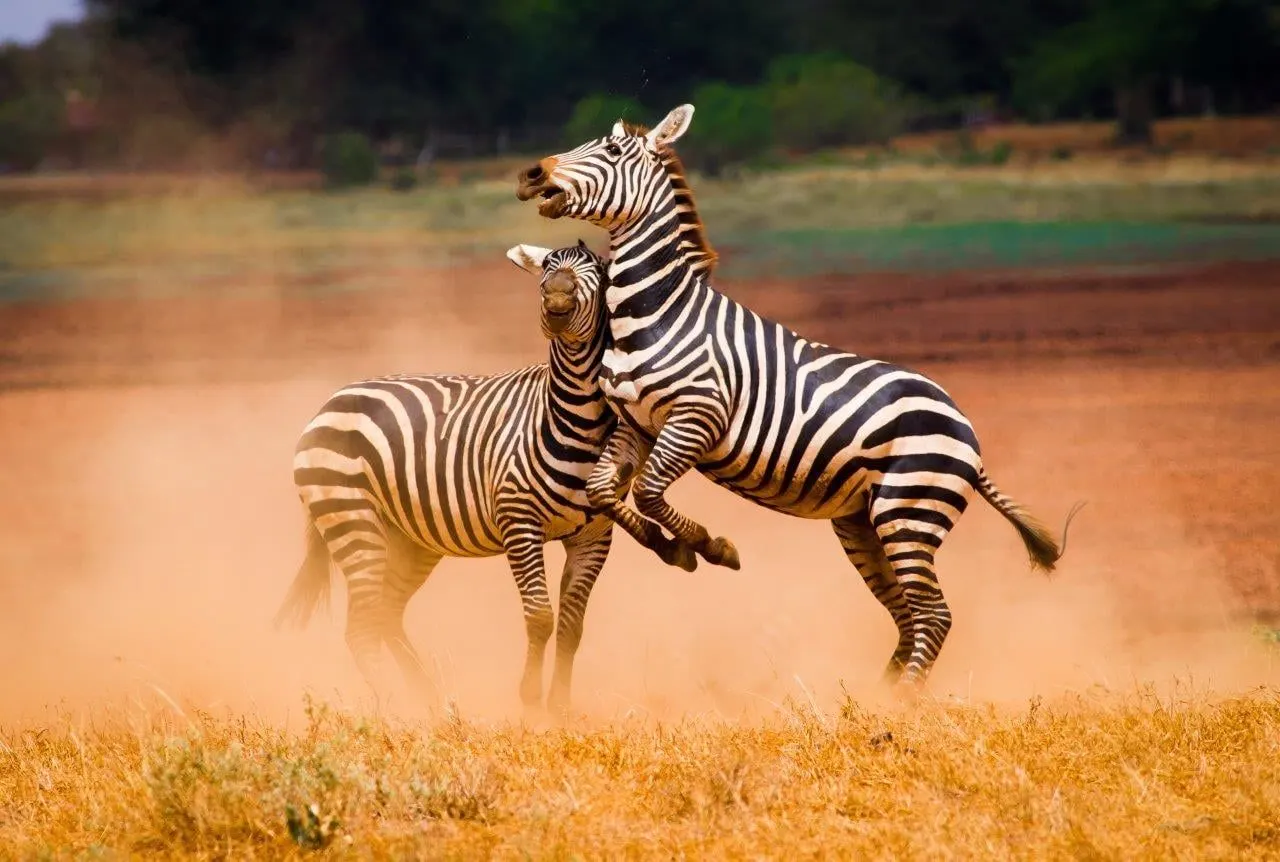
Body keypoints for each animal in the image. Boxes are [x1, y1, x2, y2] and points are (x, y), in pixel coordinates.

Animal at [274, 240, 696, 712]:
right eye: (545, 274)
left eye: (601, 275)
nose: (557, 303)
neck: (577, 419)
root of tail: (334, 398)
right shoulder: (519, 524)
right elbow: (540, 617)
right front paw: (530, 700)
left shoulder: (594, 536)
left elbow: (571, 626)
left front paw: (561, 710)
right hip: (351, 518)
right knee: (362, 628)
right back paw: (398, 712)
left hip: (410, 538)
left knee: (385, 615)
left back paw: (431, 704)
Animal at [515, 105, 1080, 694]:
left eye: (611, 151)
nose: (532, 173)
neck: (657, 313)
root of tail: (963, 424)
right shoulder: (638, 424)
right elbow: (604, 491)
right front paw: (675, 548)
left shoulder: (696, 416)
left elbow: (647, 492)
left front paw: (712, 547)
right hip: (863, 521)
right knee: (907, 614)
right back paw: (878, 698)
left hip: (910, 509)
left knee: (933, 614)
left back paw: (903, 700)